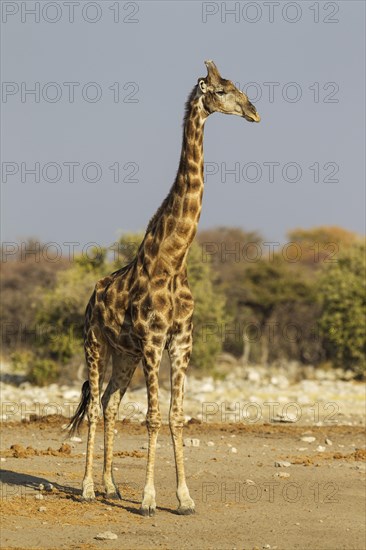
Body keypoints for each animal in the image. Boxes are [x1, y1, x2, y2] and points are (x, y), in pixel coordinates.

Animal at [68, 61, 262, 516]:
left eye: (237, 87)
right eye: (222, 90)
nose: (254, 111)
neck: (172, 261)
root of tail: (91, 297)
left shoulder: (181, 341)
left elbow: (175, 416)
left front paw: (185, 498)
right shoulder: (155, 341)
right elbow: (153, 417)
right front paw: (149, 500)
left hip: (125, 354)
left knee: (110, 403)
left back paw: (112, 487)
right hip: (95, 343)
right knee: (96, 409)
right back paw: (88, 488)